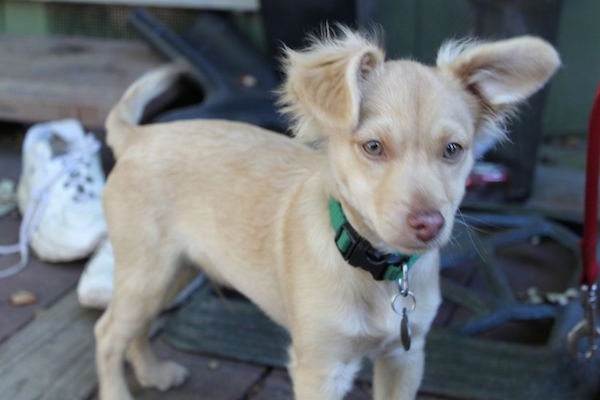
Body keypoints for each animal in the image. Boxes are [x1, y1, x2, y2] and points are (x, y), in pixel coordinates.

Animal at [96, 31, 560, 400]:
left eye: (453, 150)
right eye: (373, 147)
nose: (429, 224)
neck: (376, 271)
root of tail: (140, 136)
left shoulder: (404, 358)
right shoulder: (321, 368)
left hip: (174, 272)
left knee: (133, 329)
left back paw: (152, 372)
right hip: (147, 273)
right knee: (107, 333)